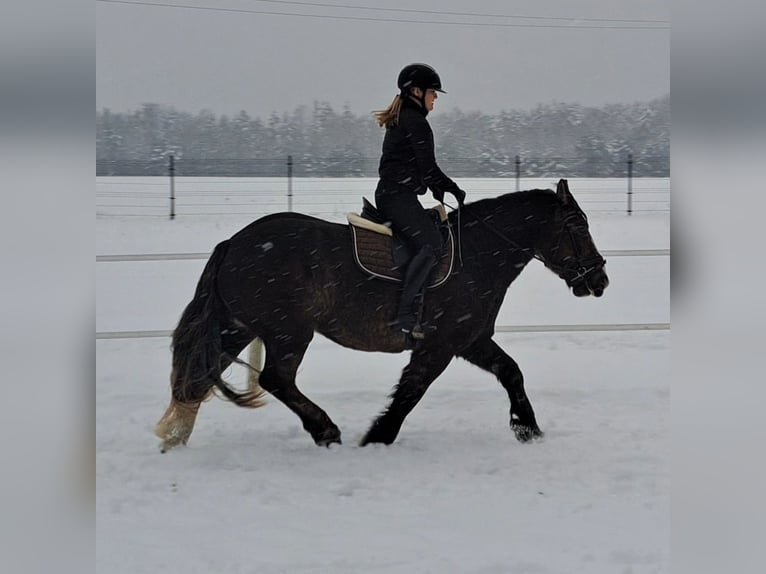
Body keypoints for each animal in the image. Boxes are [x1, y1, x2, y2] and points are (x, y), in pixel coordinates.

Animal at [155, 179, 609, 451]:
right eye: (578, 226)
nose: (599, 279)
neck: (479, 252)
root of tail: (234, 243)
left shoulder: (471, 340)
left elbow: (511, 372)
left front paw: (528, 428)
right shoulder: (440, 344)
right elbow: (411, 391)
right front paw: (378, 436)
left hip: (238, 328)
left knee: (199, 375)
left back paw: (174, 437)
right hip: (288, 333)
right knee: (275, 380)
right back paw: (325, 430)